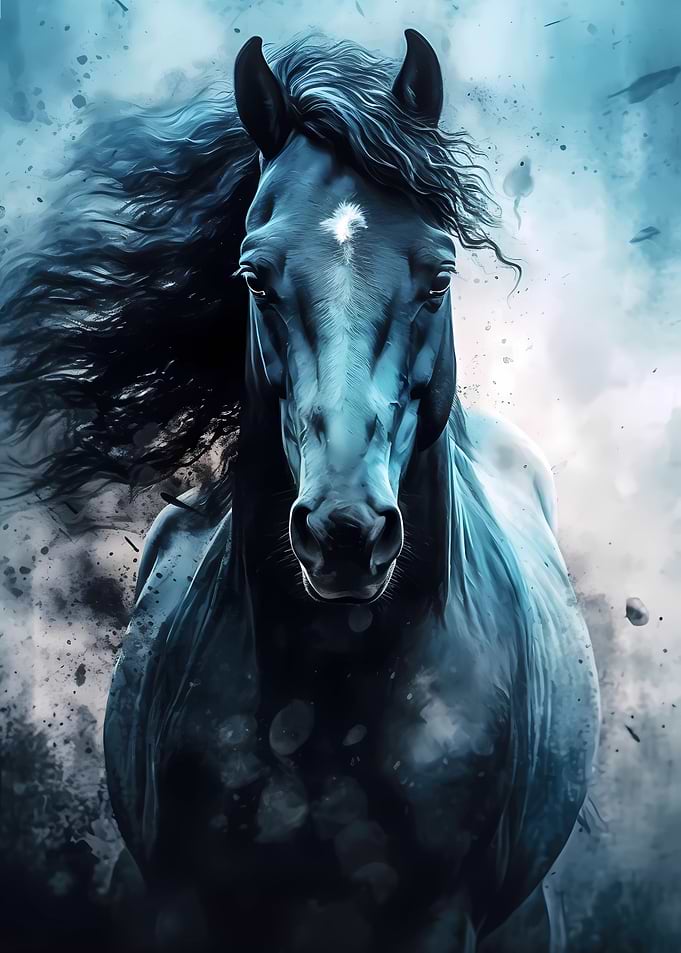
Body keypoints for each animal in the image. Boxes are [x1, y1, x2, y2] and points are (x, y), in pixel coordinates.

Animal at [0, 28, 599, 953]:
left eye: (438, 275)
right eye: (254, 276)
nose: (345, 530)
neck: (332, 701)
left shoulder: (441, 918)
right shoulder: (177, 904)